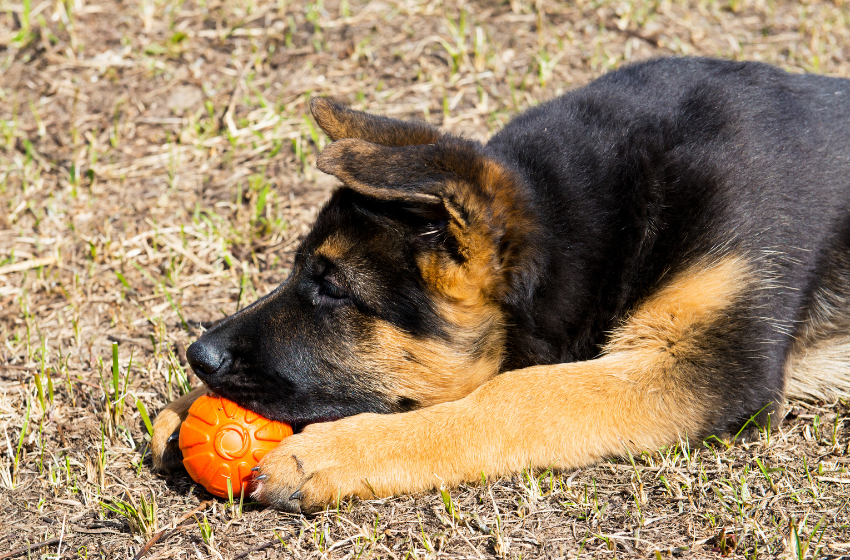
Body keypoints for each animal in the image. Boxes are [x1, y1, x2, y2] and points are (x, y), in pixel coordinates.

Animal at [151, 57, 848, 512]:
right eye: (300, 272)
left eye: (333, 288)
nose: (197, 356)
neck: (593, 218)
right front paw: (184, 408)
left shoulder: (709, 366)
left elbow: (524, 392)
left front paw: (338, 452)